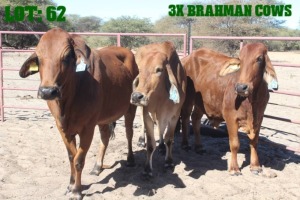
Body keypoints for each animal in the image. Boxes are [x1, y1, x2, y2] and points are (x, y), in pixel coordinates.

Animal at [19, 27, 139, 199]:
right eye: (39, 58)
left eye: (67, 56)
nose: (47, 91)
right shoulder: (62, 127)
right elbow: (71, 156)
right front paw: (70, 184)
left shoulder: (87, 128)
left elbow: (79, 160)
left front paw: (77, 190)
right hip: (103, 117)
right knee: (105, 137)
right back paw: (97, 166)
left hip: (131, 107)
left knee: (129, 132)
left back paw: (130, 159)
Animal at [131, 41, 185, 177]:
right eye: (139, 69)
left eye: (159, 70)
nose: (136, 96)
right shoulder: (147, 114)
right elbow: (150, 145)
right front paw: (147, 168)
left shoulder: (174, 115)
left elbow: (169, 139)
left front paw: (169, 161)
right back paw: (141, 139)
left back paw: (161, 146)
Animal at [179, 42, 278, 175]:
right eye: (240, 60)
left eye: (259, 59)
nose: (241, 87)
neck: (251, 101)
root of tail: (187, 58)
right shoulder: (230, 117)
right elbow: (235, 143)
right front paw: (234, 168)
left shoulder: (259, 118)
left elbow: (254, 142)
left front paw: (255, 166)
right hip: (189, 98)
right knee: (185, 118)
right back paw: (185, 144)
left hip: (202, 101)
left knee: (195, 119)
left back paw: (199, 146)